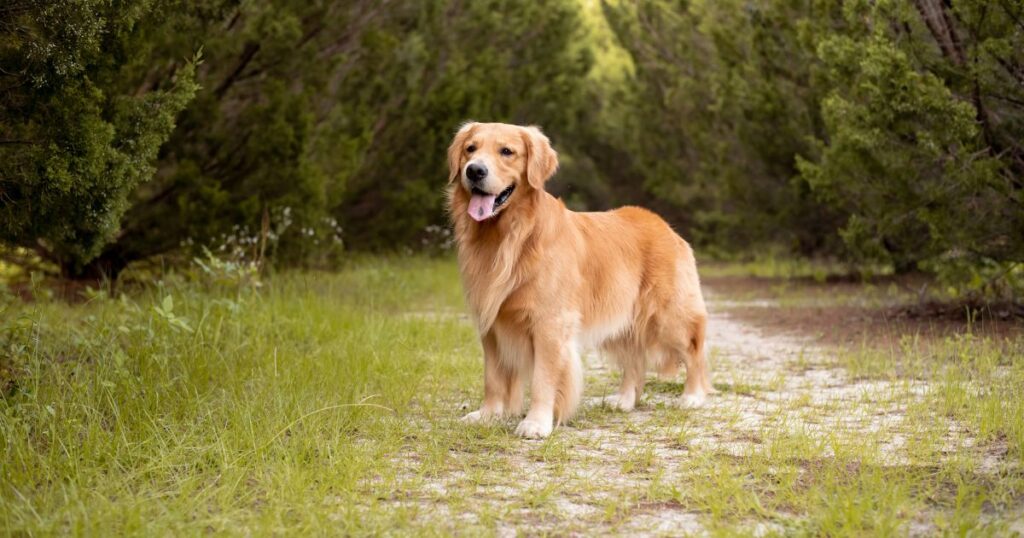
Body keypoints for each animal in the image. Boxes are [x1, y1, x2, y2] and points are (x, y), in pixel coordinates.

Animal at [448, 120, 712, 436]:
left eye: (507, 152)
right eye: (470, 148)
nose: (474, 170)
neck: (510, 236)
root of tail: (662, 223)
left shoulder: (549, 322)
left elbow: (542, 379)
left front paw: (536, 423)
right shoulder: (492, 322)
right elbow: (492, 377)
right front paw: (488, 414)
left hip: (668, 316)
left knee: (694, 350)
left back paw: (693, 396)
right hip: (622, 319)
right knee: (634, 359)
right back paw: (624, 400)